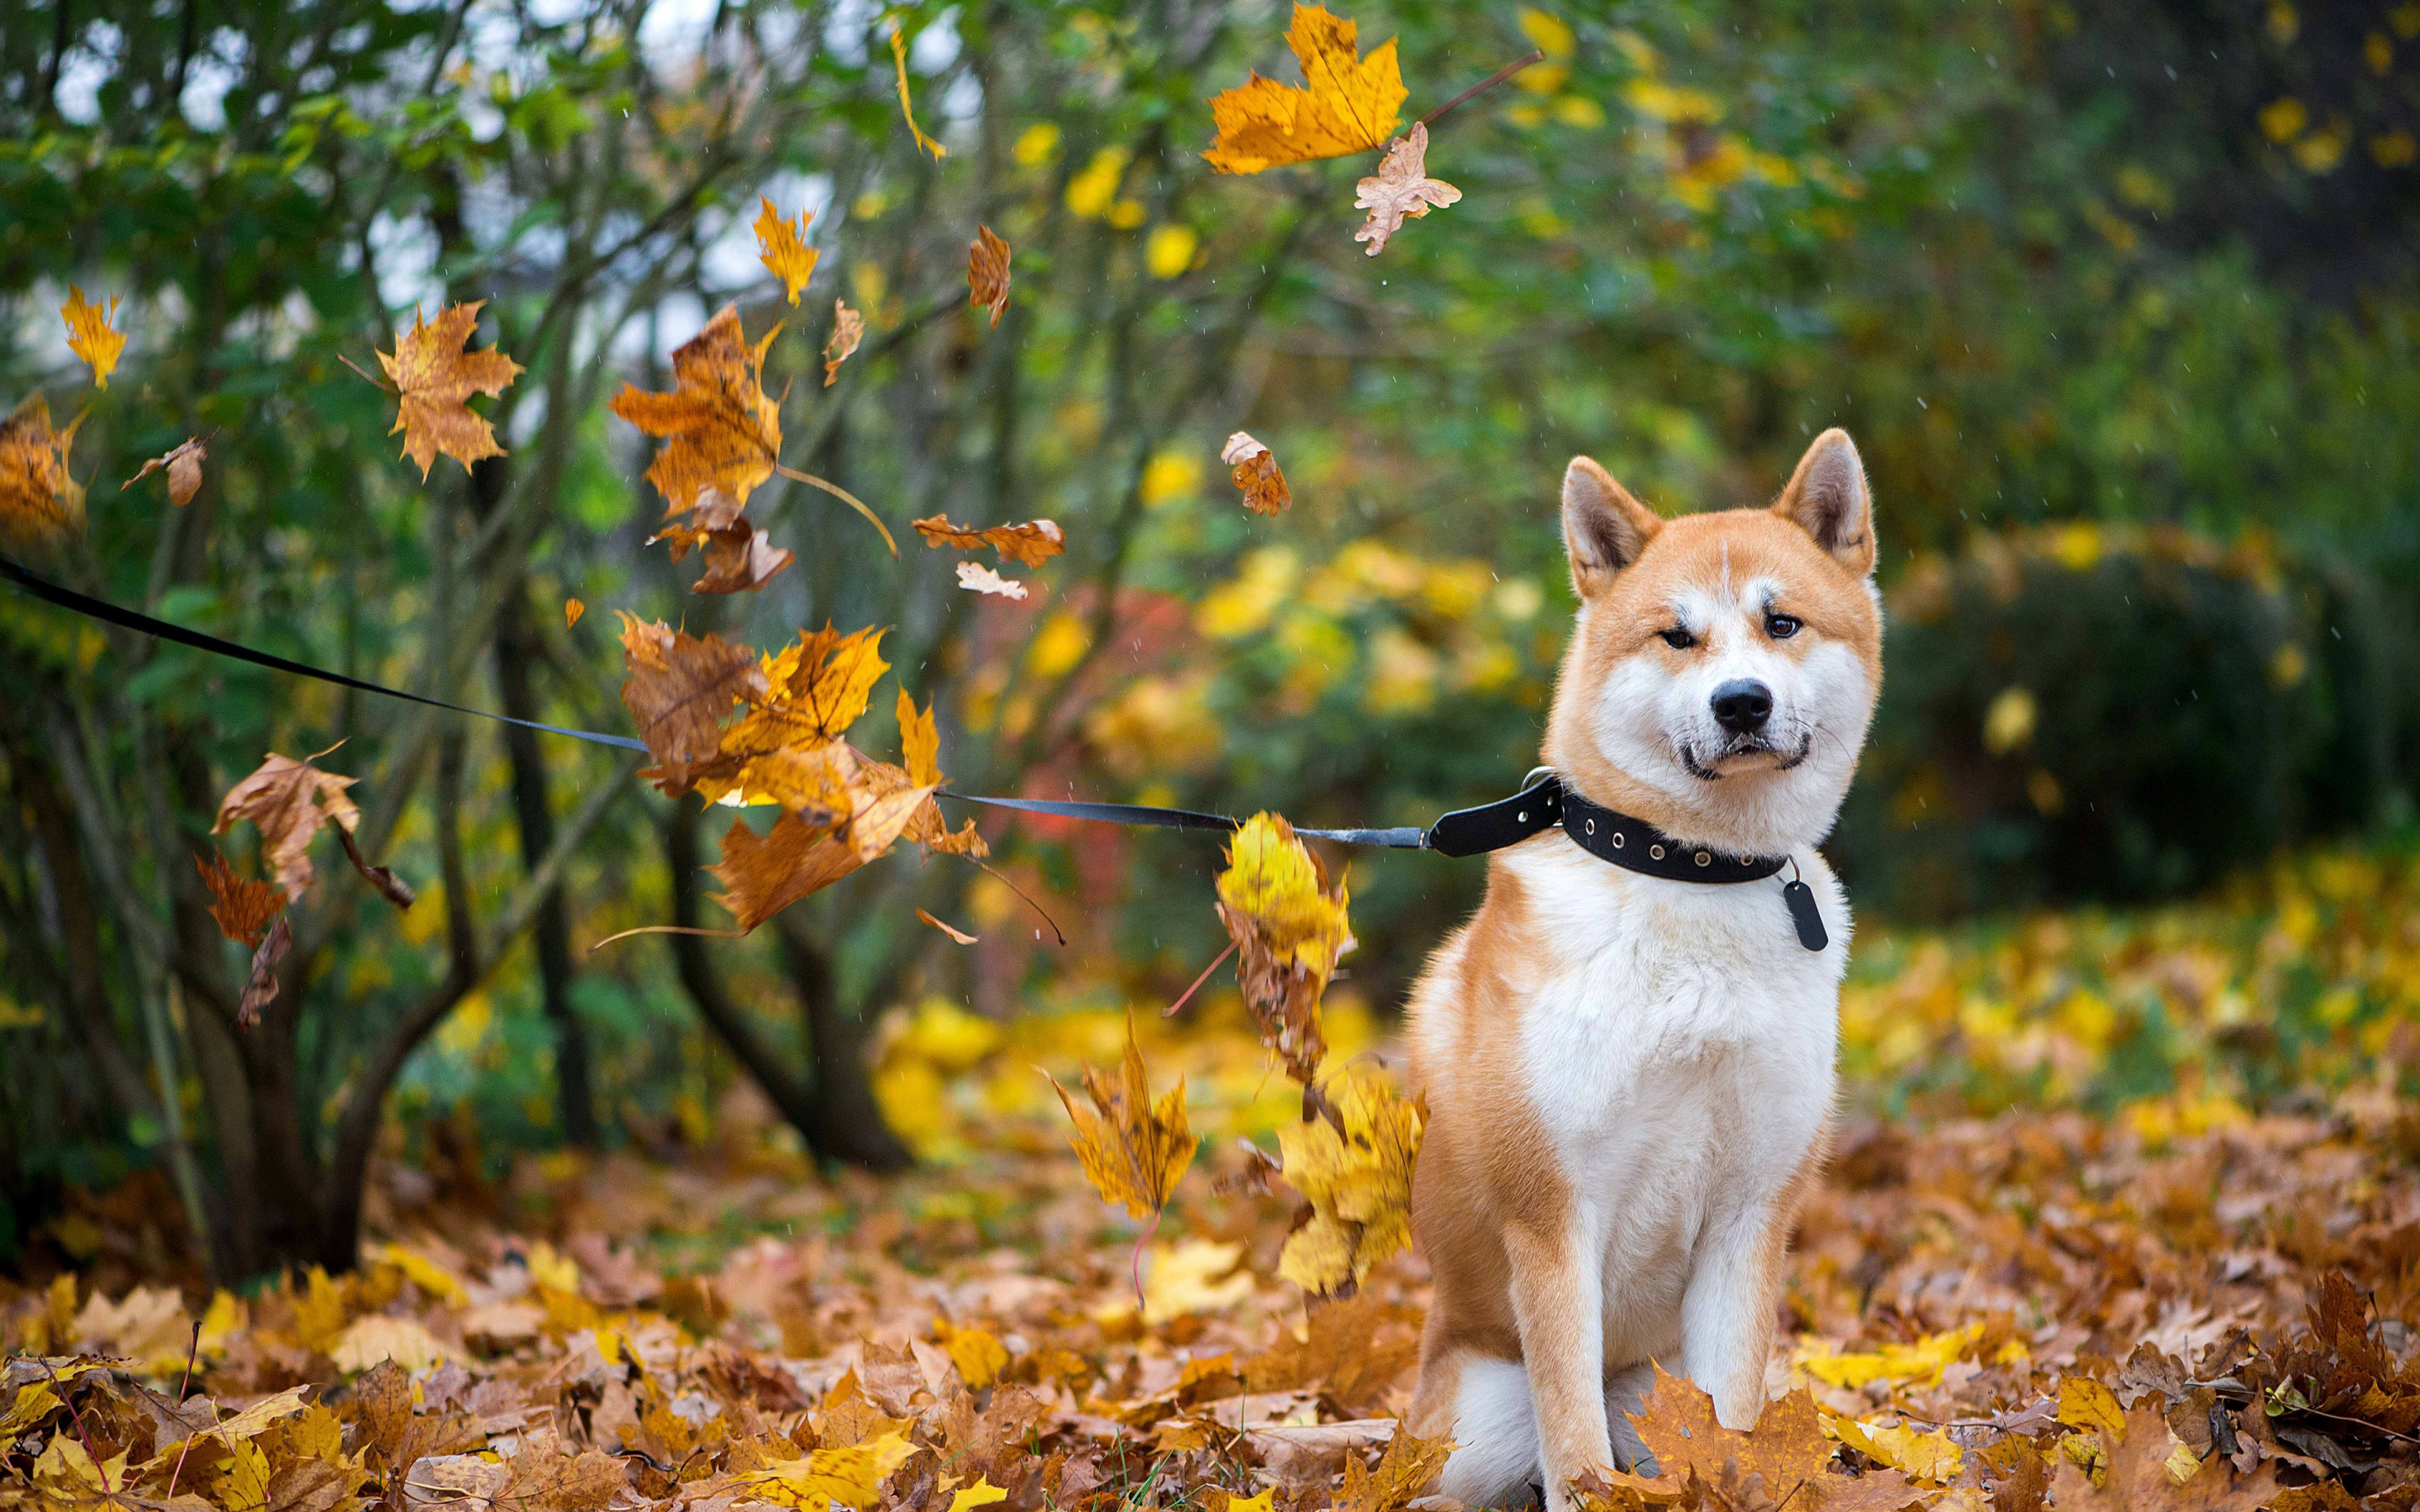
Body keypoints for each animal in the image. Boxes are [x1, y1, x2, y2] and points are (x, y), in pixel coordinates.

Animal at [1403, 428, 1887, 1509]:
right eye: (1676, 637)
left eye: (1781, 622)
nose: (1741, 701)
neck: (1693, 876)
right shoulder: (1552, 1214)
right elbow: (1574, 1446)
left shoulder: (1753, 1210)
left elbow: (1731, 1420)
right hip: (1477, 1429)